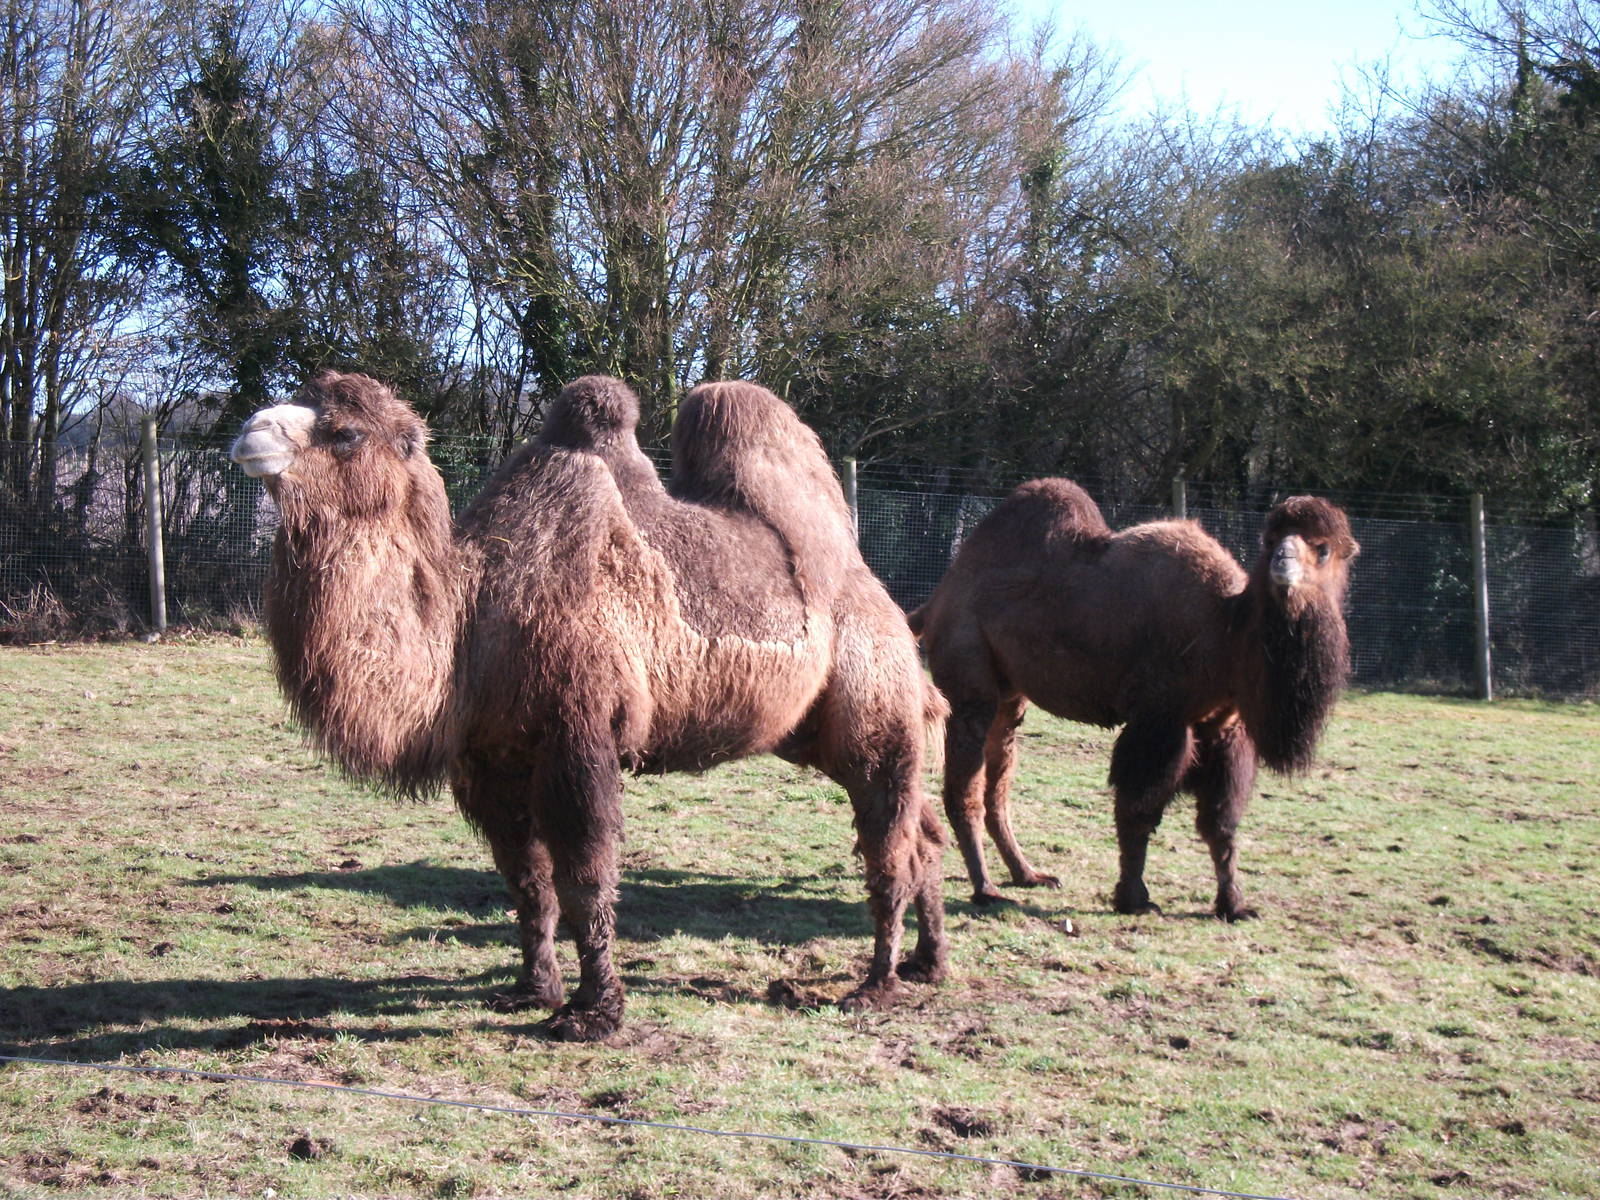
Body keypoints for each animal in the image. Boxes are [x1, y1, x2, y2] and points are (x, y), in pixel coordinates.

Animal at [229, 370, 947, 1041]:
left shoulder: (576, 735)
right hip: (811, 732)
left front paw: (592, 1014)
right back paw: (928, 963)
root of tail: (882, 596)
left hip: (874, 693)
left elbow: (584, 879)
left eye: (345, 432)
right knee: (921, 830)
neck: (471, 624)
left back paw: (875, 986)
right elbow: (525, 882)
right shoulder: (491, 761)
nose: (248, 435)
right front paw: (532, 989)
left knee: (887, 840)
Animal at [910, 478, 1358, 919]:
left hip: (1011, 697)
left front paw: (1234, 904)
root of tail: (937, 599)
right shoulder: (1160, 718)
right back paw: (986, 890)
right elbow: (1138, 809)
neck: (1226, 629)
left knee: (997, 787)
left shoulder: (1226, 728)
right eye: (1271, 540)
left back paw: (1028, 875)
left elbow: (1222, 821)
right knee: (964, 788)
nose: (1282, 563)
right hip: (968, 674)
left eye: (1324, 548)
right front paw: (1133, 898)